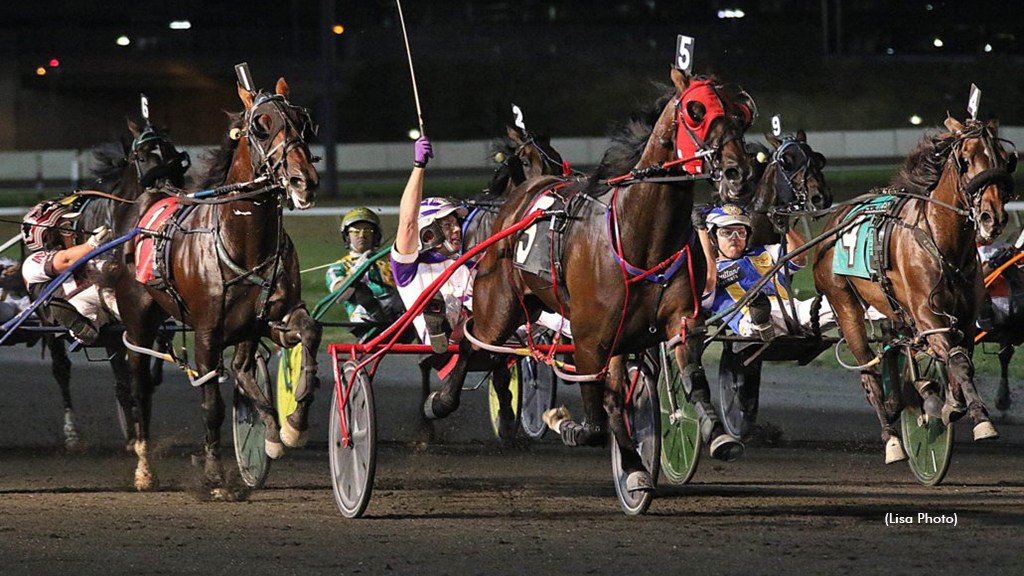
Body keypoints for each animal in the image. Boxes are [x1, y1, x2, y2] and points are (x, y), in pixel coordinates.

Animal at [111, 78, 319, 491]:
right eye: (261, 126)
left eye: (303, 121)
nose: (303, 180)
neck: (243, 241)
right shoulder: (208, 332)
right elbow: (212, 405)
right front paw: (215, 474)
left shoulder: (272, 317)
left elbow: (308, 334)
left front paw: (290, 427)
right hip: (139, 321)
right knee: (139, 385)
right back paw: (143, 467)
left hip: (245, 330)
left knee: (242, 368)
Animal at [423, 67, 753, 487]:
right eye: (696, 111)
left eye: (743, 113)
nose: (738, 174)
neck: (637, 233)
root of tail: (521, 199)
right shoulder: (589, 337)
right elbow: (600, 416)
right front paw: (589, 438)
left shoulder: (677, 319)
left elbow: (691, 378)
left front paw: (717, 432)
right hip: (498, 307)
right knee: (470, 340)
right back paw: (440, 401)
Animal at [815, 116, 1015, 461]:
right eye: (965, 160)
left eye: (1004, 159)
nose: (993, 217)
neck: (942, 242)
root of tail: (835, 221)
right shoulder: (927, 316)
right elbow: (958, 361)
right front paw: (980, 420)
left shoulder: (964, 319)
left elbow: (961, 361)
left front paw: (946, 400)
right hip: (844, 304)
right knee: (868, 375)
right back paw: (892, 440)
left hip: (893, 308)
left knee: (893, 347)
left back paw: (901, 400)